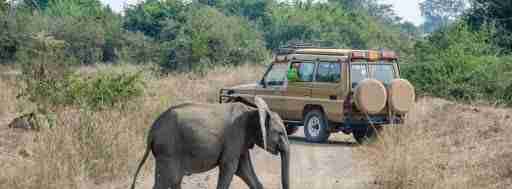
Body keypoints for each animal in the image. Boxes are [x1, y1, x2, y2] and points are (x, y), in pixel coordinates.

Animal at [130, 96, 290, 189]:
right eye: (280, 133)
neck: (253, 110)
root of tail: (152, 131)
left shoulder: (242, 141)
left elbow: (244, 170)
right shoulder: (235, 136)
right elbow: (230, 167)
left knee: (173, 180)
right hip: (169, 149)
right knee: (168, 180)